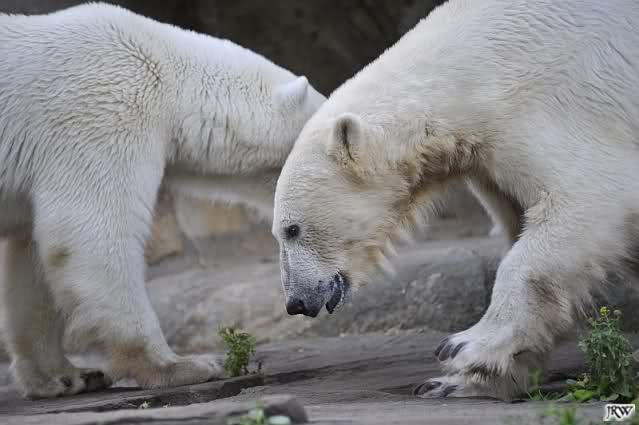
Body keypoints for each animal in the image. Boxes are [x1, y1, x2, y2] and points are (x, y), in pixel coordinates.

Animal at [0, 2, 324, 399]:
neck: (165, 73)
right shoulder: (103, 115)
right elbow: (92, 233)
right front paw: (182, 366)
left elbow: (32, 259)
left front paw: (66, 376)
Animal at [272, 0, 639, 400]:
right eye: (281, 232)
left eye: (292, 229)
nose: (296, 302)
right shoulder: (491, 162)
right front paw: (456, 382)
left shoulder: (563, 101)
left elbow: (589, 197)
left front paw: (465, 347)